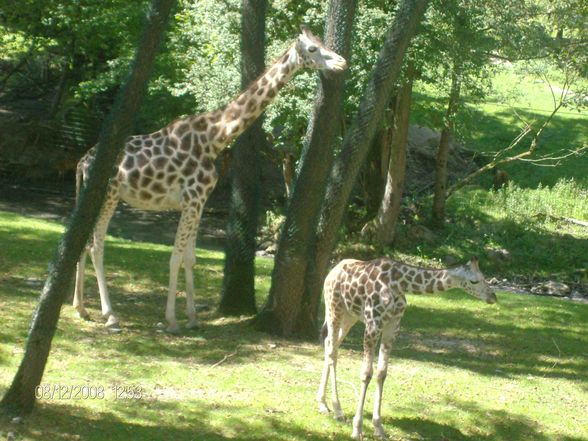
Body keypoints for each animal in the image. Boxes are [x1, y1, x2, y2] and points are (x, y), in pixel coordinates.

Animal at [75, 25, 346, 332]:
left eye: (322, 42)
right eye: (312, 48)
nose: (342, 63)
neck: (215, 137)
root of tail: (83, 161)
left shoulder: (199, 202)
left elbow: (189, 258)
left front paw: (192, 318)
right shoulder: (191, 200)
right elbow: (175, 257)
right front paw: (172, 321)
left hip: (93, 195)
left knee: (82, 242)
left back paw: (81, 308)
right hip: (108, 194)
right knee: (96, 245)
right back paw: (111, 315)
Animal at [316, 256, 496, 438]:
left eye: (484, 277)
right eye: (474, 281)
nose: (493, 297)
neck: (399, 283)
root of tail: (331, 272)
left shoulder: (393, 326)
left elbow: (382, 373)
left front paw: (378, 427)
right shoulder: (373, 324)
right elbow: (366, 374)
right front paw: (357, 428)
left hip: (349, 315)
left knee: (330, 344)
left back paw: (323, 403)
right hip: (334, 308)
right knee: (332, 352)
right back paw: (337, 410)